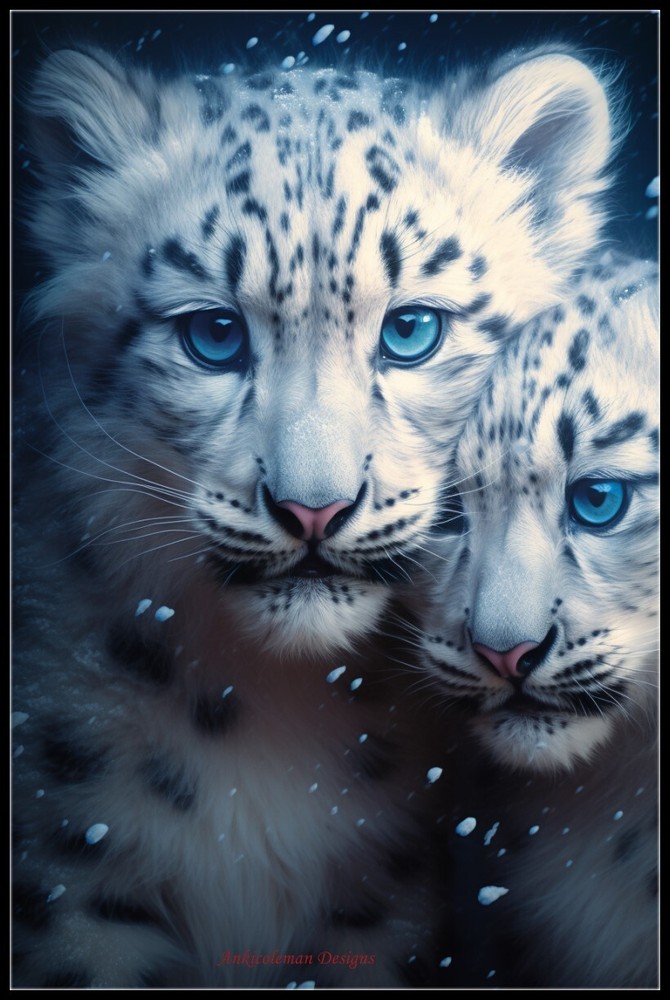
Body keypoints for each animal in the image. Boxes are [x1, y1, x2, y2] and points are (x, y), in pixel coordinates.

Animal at [12, 44, 618, 987]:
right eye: (214, 335)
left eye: (411, 330)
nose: (312, 509)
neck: (265, 712)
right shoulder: (70, 873)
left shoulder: (381, 904)